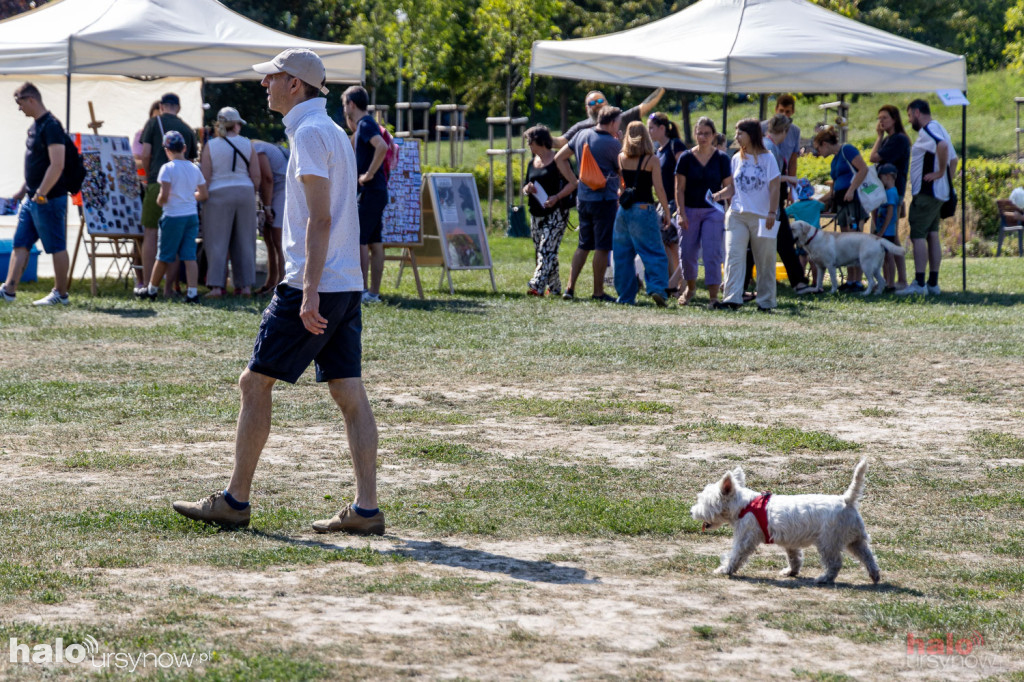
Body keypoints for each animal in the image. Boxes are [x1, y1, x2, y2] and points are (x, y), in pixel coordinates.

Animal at [692, 456, 884, 585]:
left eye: (704, 501)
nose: (692, 511)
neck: (745, 505)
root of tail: (847, 500)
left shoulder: (745, 538)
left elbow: (735, 556)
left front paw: (725, 570)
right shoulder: (790, 542)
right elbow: (794, 558)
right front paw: (791, 571)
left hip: (828, 542)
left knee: (835, 563)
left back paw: (823, 579)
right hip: (856, 540)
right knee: (869, 556)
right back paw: (875, 576)